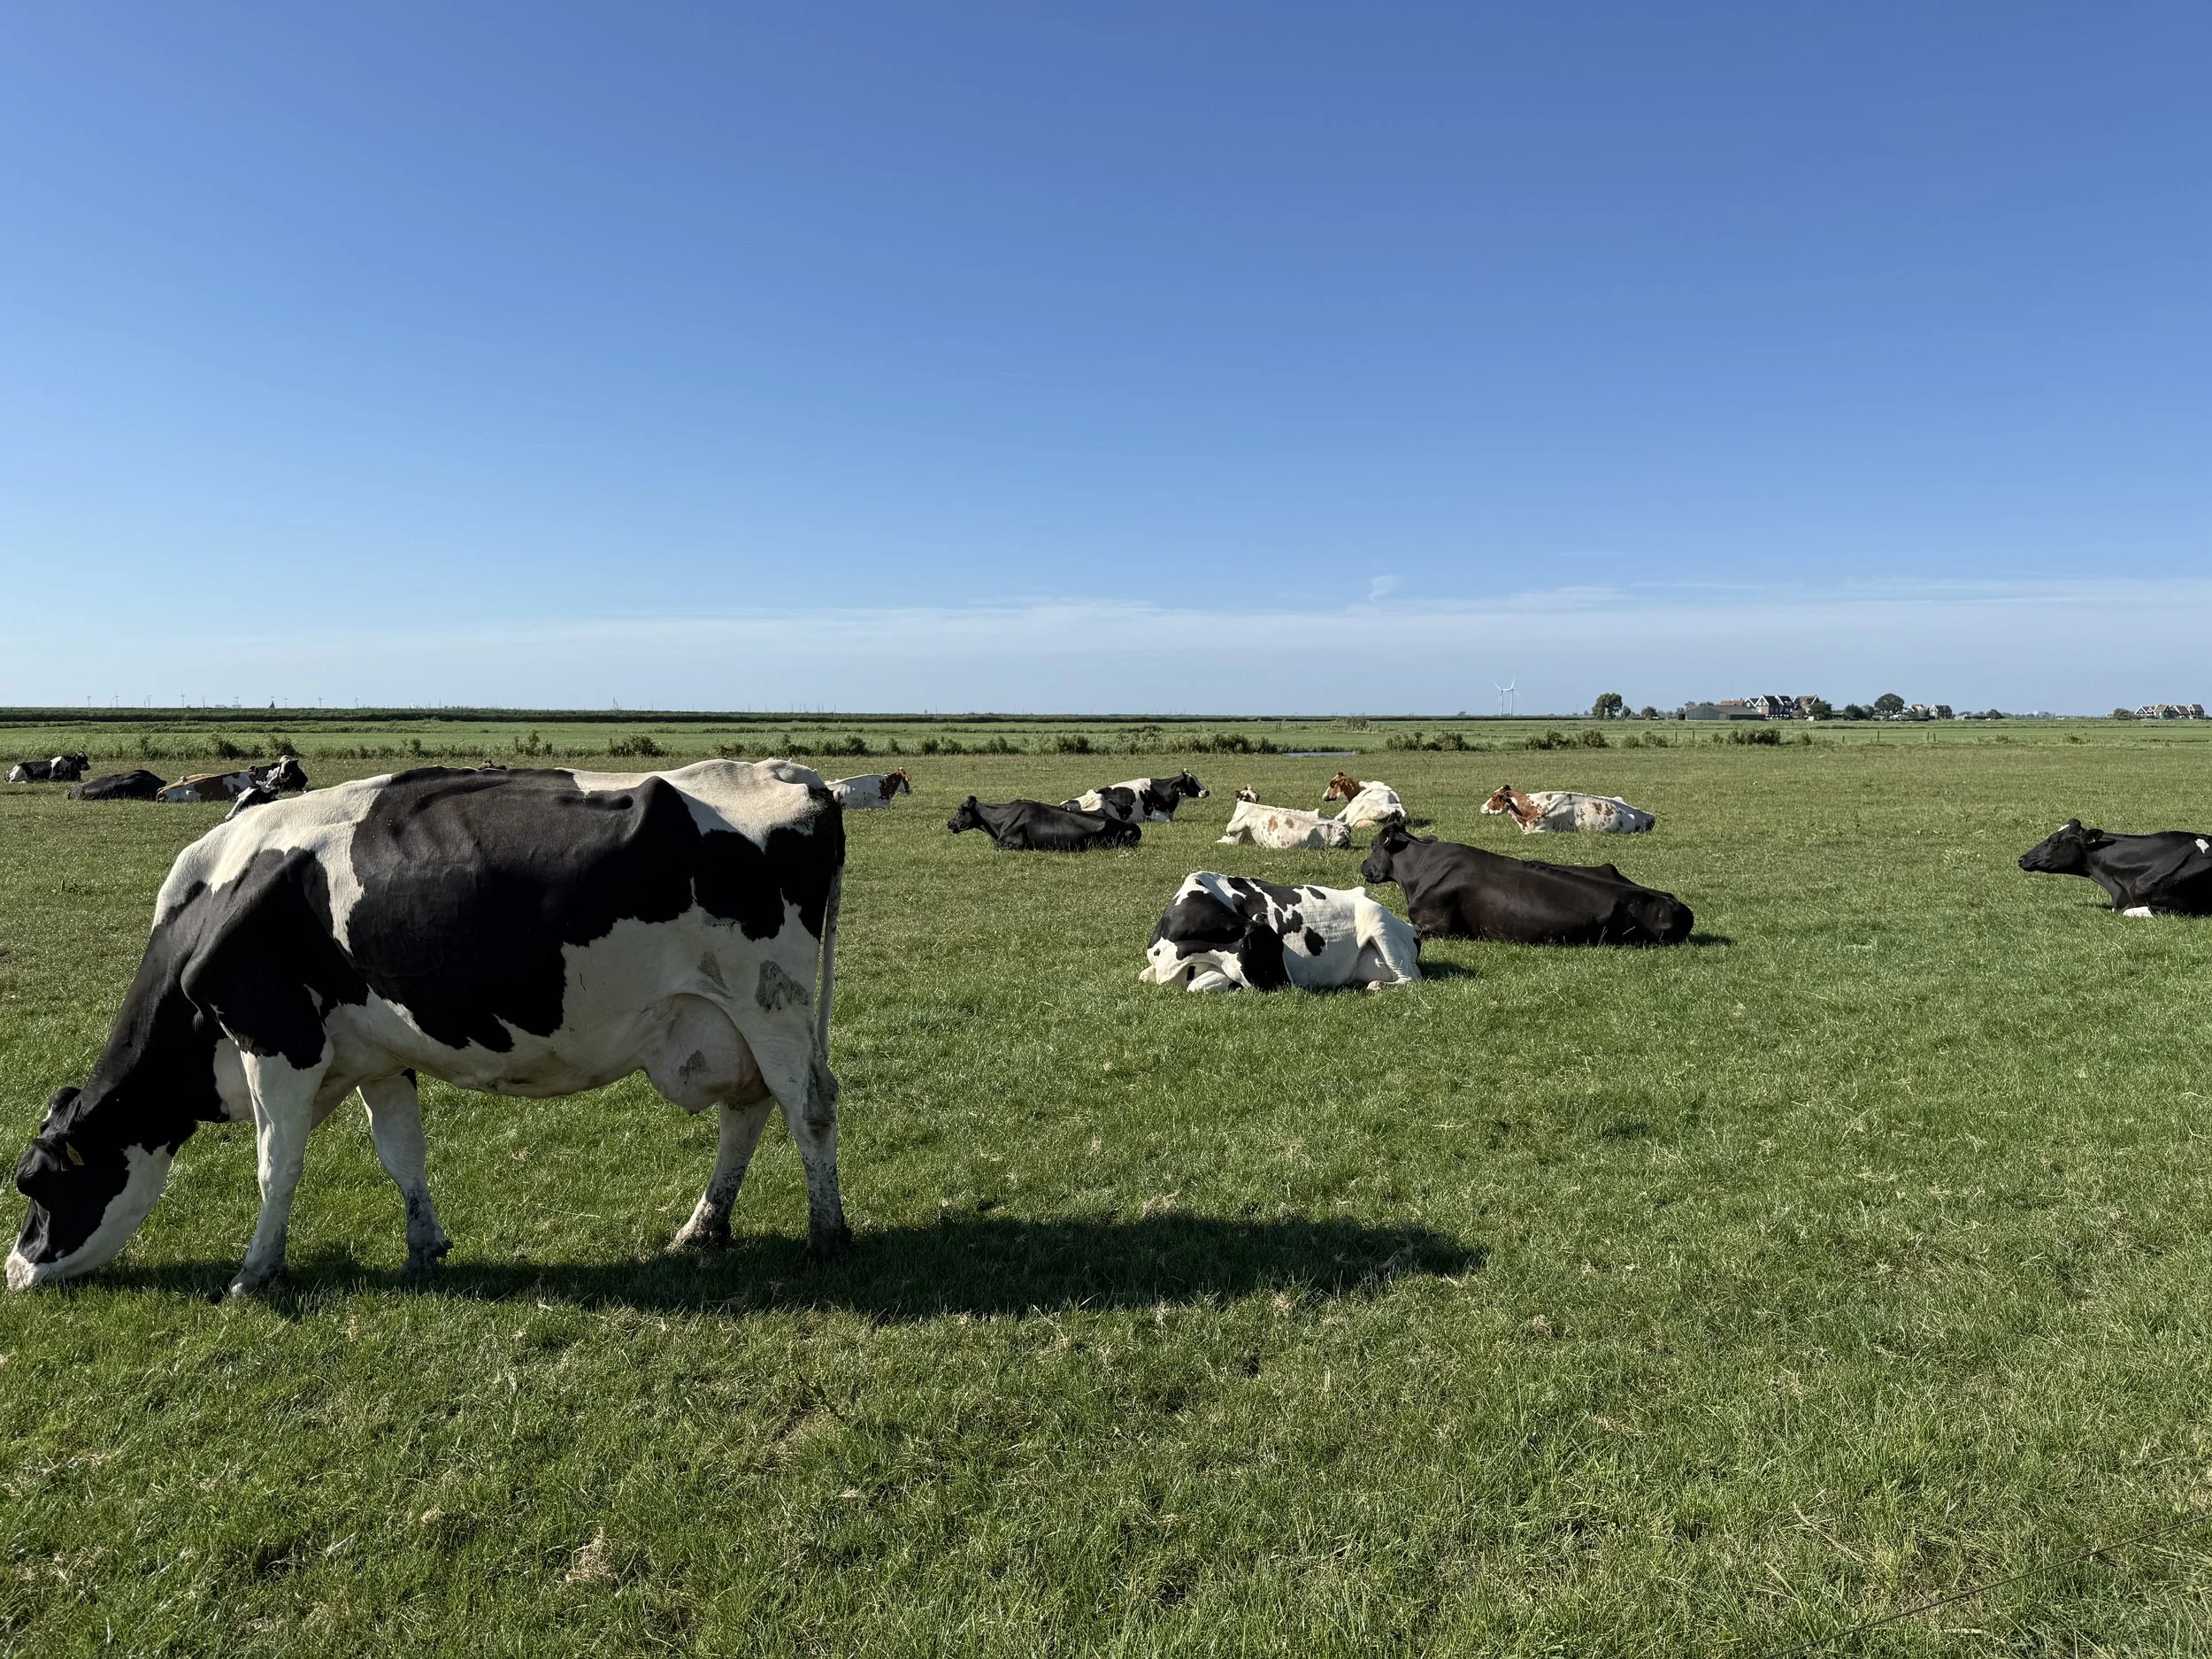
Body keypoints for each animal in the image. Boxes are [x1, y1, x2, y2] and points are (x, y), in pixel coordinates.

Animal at [9, 760, 849, 1295]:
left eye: (34, 1183)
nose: (15, 1271)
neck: (217, 900)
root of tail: (790, 775)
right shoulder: (376, 1054)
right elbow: (400, 1154)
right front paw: (423, 1249)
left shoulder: (275, 1040)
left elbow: (276, 1164)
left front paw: (255, 1272)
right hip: (725, 1019)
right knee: (749, 1111)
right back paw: (703, 1228)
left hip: (768, 1000)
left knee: (808, 1107)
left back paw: (826, 1234)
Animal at [1061, 772, 1210, 825]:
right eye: (1191, 782)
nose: (1207, 791)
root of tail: (1063, 804)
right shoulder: (1152, 812)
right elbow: (1167, 821)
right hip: (1099, 798)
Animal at [1139, 873, 1421, 993]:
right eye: (1269, 952)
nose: (1292, 986)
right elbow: (1145, 976)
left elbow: (1196, 986)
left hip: (1379, 923)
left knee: (1410, 979)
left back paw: (1376, 986)